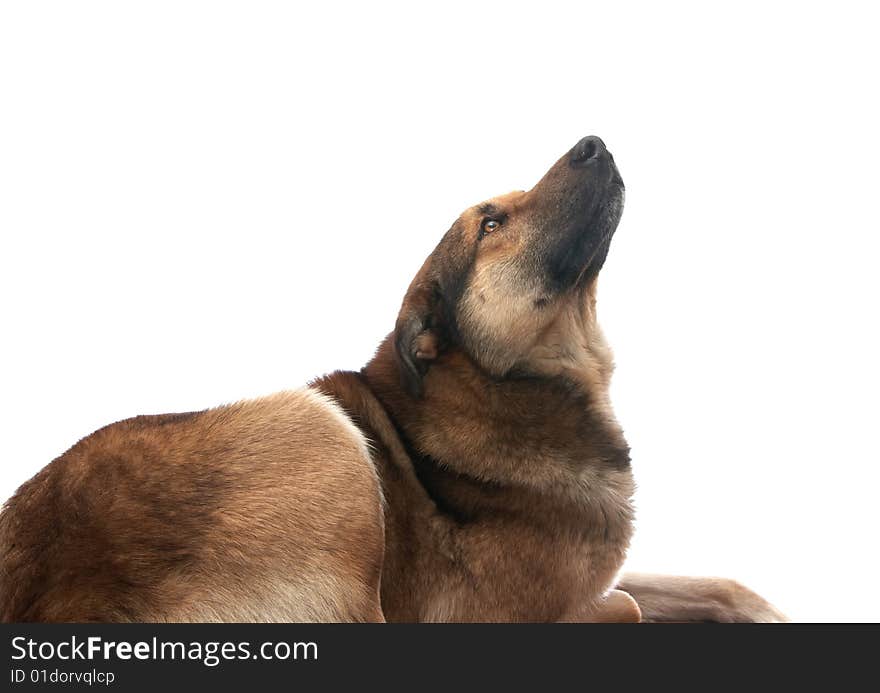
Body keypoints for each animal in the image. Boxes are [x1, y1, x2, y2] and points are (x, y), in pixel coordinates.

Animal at [0, 135, 788, 620]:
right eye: (491, 224)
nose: (593, 140)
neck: (501, 380)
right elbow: (625, 601)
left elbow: (710, 581)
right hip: (325, 432)